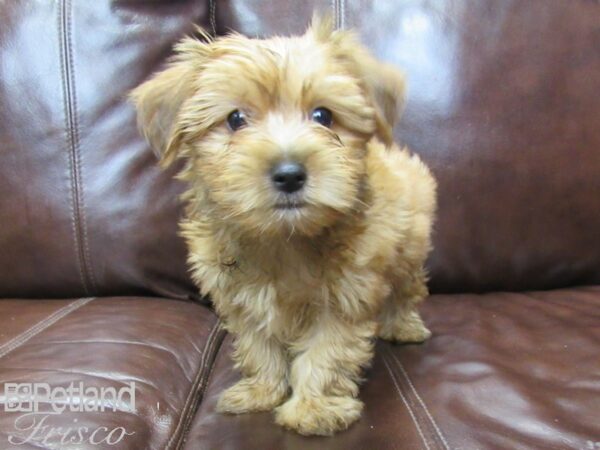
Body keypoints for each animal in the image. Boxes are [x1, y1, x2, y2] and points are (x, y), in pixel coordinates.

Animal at [130, 15, 436, 434]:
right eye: (235, 119)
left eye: (323, 116)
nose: (290, 174)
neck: (284, 238)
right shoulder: (241, 296)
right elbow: (259, 345)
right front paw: (262, 390)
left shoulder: (344, 297)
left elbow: (327, 352)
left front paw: (313, 408)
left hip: (410, 249)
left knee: (407, 289)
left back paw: (404, 326)